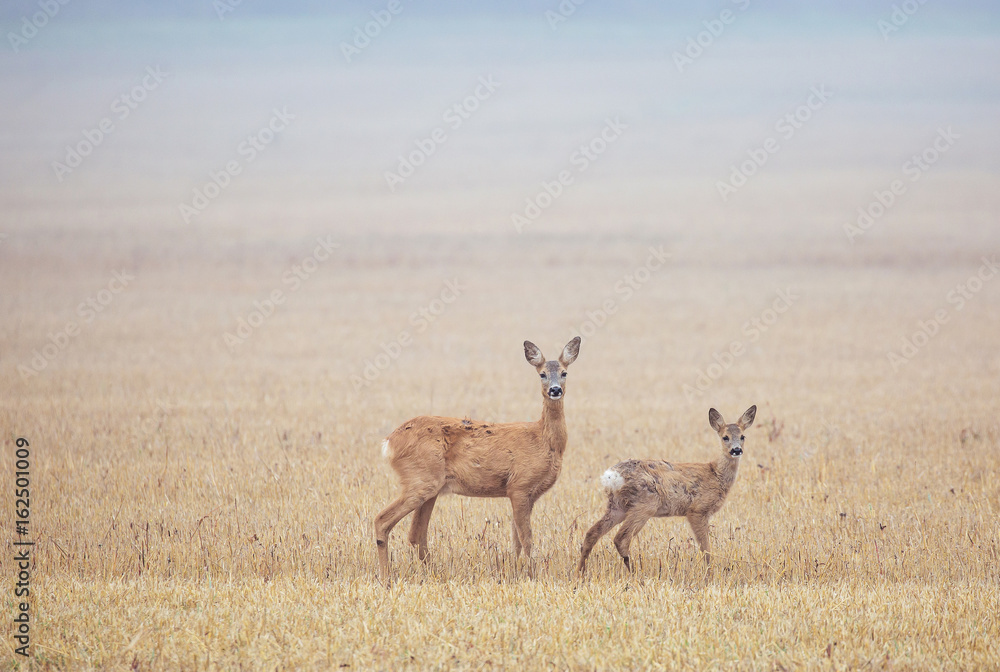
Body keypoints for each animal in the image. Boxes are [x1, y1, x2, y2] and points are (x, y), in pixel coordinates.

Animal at [375, 337, 581, 579]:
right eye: (542, 374)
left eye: (564, 372)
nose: (555, 390)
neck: (544, 440)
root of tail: (390, 441)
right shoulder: (519, 486)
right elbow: (527, 539)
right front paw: (532, 575)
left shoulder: (525, 494)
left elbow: (516, 540)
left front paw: (515, 572)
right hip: (419, 479)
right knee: (382, 520)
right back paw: (386, 578)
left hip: (430, 488)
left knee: (416, 535)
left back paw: (435, 573)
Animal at [577, 405, 756, 575]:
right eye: (725, 437)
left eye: (743, 436)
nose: (736, 450)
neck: (715, 474)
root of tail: (611, 476)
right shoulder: (697, 510)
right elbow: (706, 549)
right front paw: (709, 574)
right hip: (645, 504)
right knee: (621, 538)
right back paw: (635, 574)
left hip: (618, 506)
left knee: (592, 533)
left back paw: (580, 572)